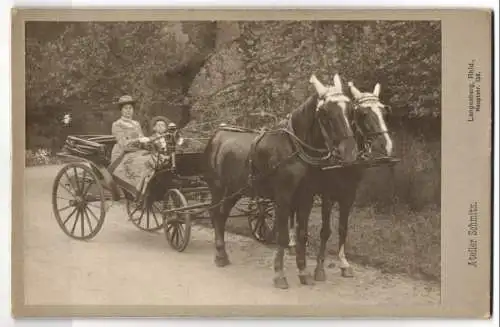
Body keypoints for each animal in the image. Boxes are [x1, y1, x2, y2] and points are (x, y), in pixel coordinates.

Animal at [203, 73, 360, 290]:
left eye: (350, 109)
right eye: (325, 112)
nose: (349, 151)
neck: (295, 150)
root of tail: (217, 135)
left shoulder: (306, 198)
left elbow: (302, 234)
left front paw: (303, 271)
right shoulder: (283, 198)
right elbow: (283, 237)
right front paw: (279, 274)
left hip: (235, 190)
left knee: (222, 215)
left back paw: (223, 254)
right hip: (218, 188)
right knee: (215, 213)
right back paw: (219, 254)